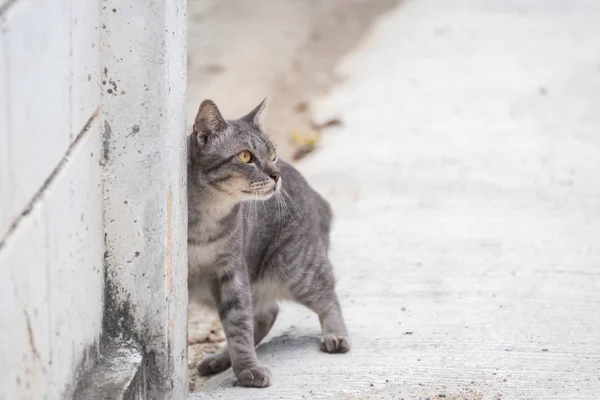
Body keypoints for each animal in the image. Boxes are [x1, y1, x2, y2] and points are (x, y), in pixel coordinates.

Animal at [186, 99, 346, 388]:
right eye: (245, 156)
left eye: (272, 154)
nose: (276, 173)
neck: (207, 218)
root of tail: (317, 196)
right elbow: (241, 324)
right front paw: (242, 366)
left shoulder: (231, 270)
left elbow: (238, 325)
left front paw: (247, 368)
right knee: (265, 312)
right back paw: (220, 360)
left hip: (297, 269)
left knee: (327, 298)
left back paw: (337, 335)